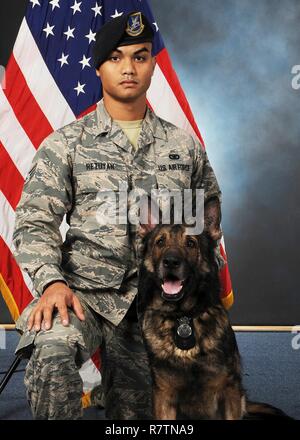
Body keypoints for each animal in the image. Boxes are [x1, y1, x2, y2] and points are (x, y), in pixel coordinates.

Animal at [138, 199, 290, 420]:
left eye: (190, 243)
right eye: (160, 242)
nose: (170, 262)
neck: (183, 317)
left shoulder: (230, 391)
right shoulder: (163, 397)